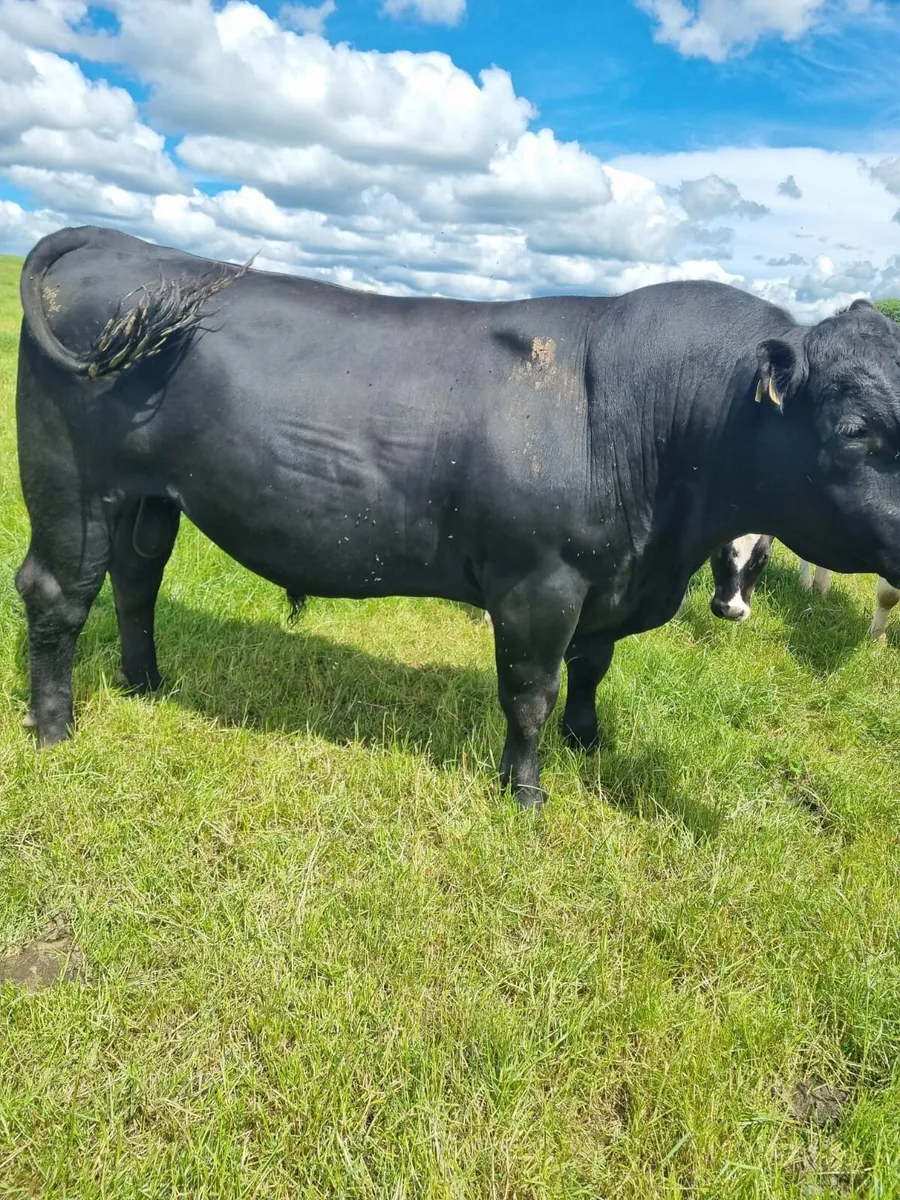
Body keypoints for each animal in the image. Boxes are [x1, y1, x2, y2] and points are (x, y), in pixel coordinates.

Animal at [13, 226, 900, 809]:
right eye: (856, 428)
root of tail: (126, 244)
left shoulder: (606, 580)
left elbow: (593, 669)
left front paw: (588, 740)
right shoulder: (539, 584)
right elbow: (532, 690)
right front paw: (526, 791)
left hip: (150, 497)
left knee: (137, 580)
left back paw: (148, 683)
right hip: (68, 481)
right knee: (58, 592)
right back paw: (55, 730)